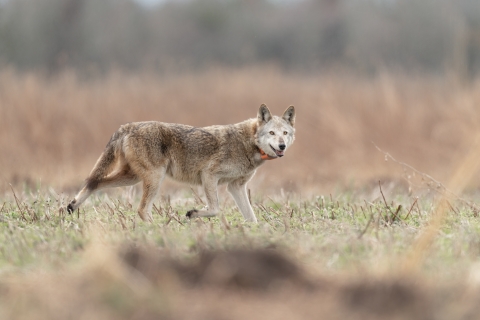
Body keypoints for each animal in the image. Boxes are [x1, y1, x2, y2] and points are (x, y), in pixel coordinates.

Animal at [65, 105, 294, 222]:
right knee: (141, 209)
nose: (282, 146)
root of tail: (128, 126)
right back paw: (159, 229)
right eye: (271, 133)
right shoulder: (209, 175)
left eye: (285, 133)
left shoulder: (235, 186)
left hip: (132, 178)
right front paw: (193, 213)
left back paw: (71, 206)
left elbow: (251, 217)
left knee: (95, 183)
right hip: (154, 179)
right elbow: (215, 208)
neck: (249, 143)